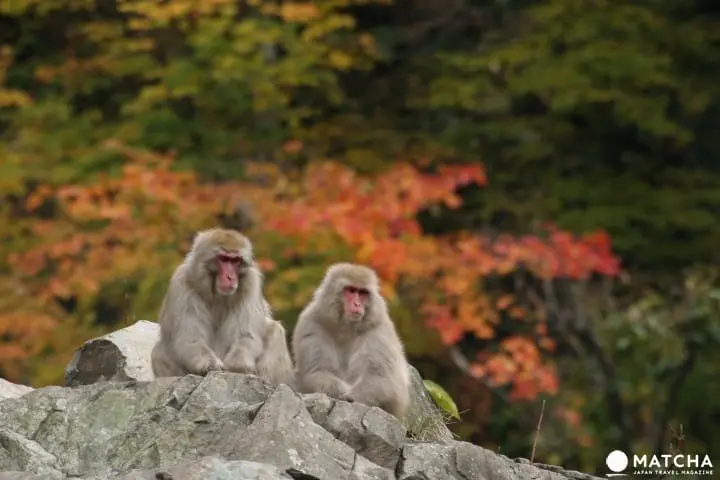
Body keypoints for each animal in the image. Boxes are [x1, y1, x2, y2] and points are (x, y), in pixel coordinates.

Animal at [151, 228, 294, 386]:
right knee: (159, 352)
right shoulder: (180, 282)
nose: (230, 277)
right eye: (224, 259)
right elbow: (190, 337)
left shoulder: (252, 284)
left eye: (236, 261)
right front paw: (210, 364)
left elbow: (246, 335)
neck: (217, 294)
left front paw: (237, 366)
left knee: (275, 330)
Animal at [291, 263, 411, 418]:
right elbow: (315, 372)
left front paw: (351, 396)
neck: (346, 328)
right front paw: (340, 392)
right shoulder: (311, 323)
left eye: (363, 293)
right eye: (351, 290)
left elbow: (386, 380)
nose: (357, 304)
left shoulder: (379, 330)